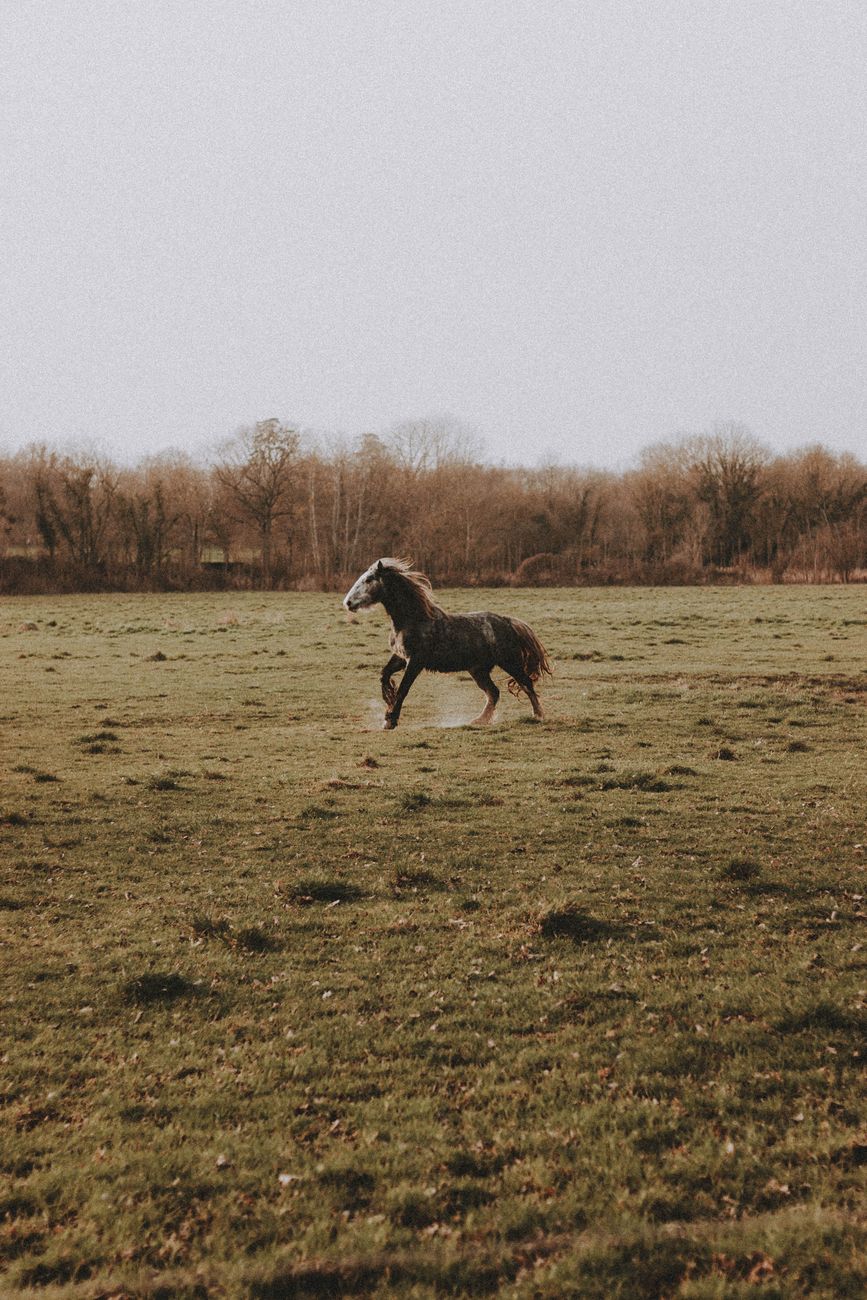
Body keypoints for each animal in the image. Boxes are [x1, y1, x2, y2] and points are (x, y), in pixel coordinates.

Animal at [343, 558, 552, 729]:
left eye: (369, 579)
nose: (348, 603)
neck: (414, 619)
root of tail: (507, 621)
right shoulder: (402, 657)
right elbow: (384, 675)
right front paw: (388, 701)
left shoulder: (416, 661)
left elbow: (404, 689)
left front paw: (390, 719)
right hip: (478, 670)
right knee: (494, 692)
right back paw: (479, 720)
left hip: (509, 663)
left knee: (526, 683)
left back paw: (538, 715)